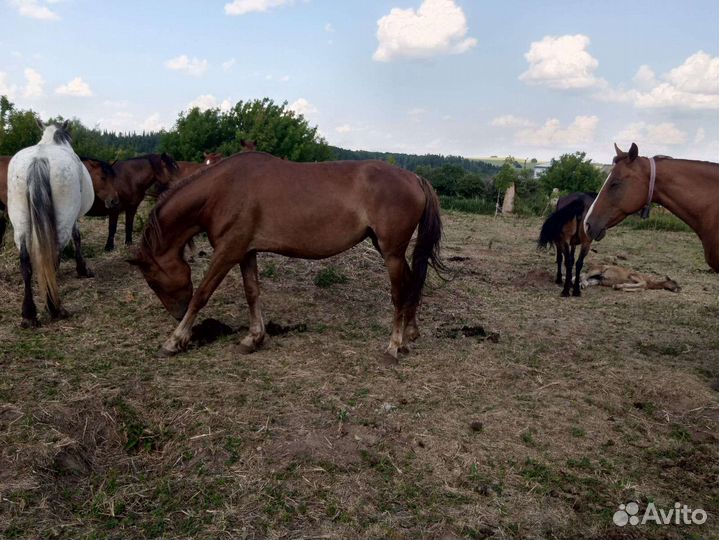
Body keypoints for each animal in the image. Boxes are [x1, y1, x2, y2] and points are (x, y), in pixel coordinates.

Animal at [7, 121, 95, 327]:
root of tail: (38, 159)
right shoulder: (74, 218)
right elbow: (77, 237)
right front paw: (82, 269)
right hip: (63, 219)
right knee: (53, 252)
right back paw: (54, 307)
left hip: (20, 222)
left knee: (25, 261)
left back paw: (29, 314)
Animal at [128, 152, 445, 360]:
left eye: (152, 281)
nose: (177, 313)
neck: (222, 189)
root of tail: (415, 178)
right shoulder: (246, 251)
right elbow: (252, 292)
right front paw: (253, 338)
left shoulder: (227, 252)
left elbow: (202, 294)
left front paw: (175, 339)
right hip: (385, 247)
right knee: (412, 283)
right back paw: (409, 336)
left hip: (391, 252)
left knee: (400, 292)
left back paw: (393, 346)